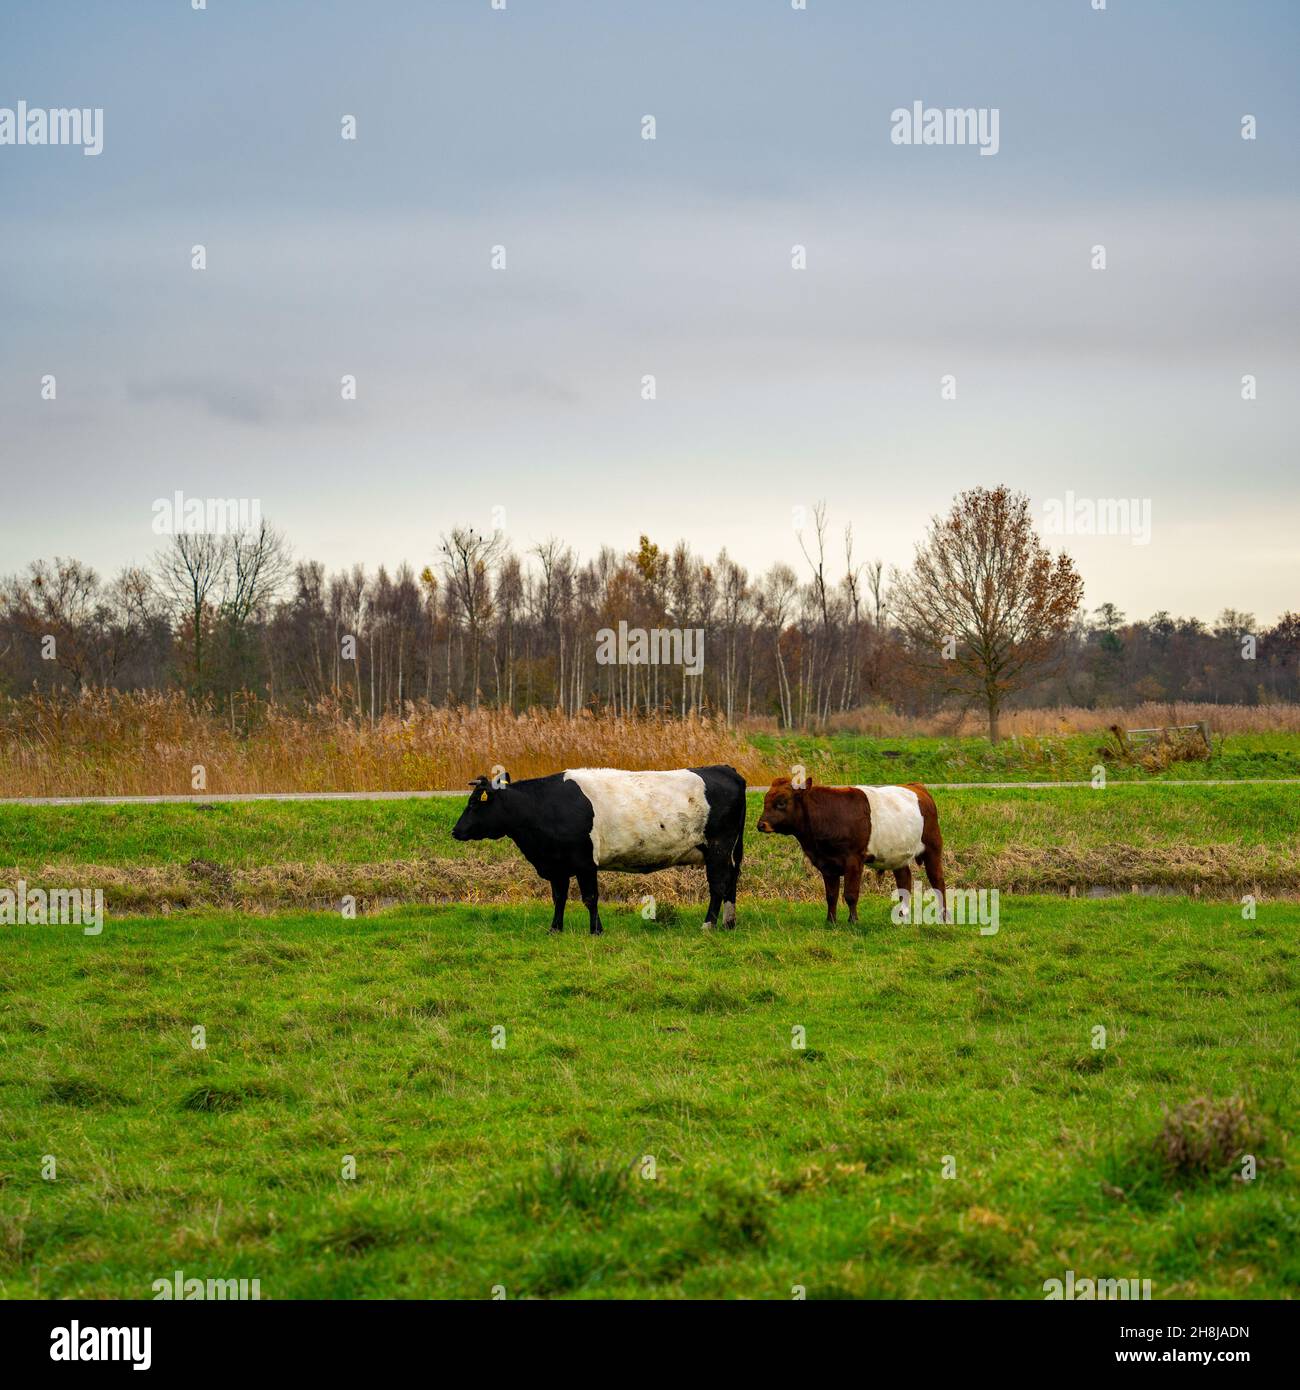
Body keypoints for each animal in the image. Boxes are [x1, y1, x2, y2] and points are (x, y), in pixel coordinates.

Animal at [453, 767, 745, 939]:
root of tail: (725, 769)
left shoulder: (584, 862)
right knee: (731, 881)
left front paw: (595, 930)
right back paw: (729, 922)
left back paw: (709, 924)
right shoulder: (557, 865)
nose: (455, 831)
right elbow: (559, 898)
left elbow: (590, 898)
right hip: (727, 852)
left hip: (718, 847)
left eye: (475, 804)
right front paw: (555, 929)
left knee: (718, 885)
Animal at [750, 783, 945, 922]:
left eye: (781, 803)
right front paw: (830, 921)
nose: (761, 824)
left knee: (937, 881)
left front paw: (853, 921)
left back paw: (943, 916)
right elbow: (831, 895)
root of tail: (917, 786)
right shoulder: (827, 864)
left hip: (933, 847)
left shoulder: (854, 859)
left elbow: (850, 894)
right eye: (765, 802)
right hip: (898, 855)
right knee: (904, 880)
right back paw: (902, 915)